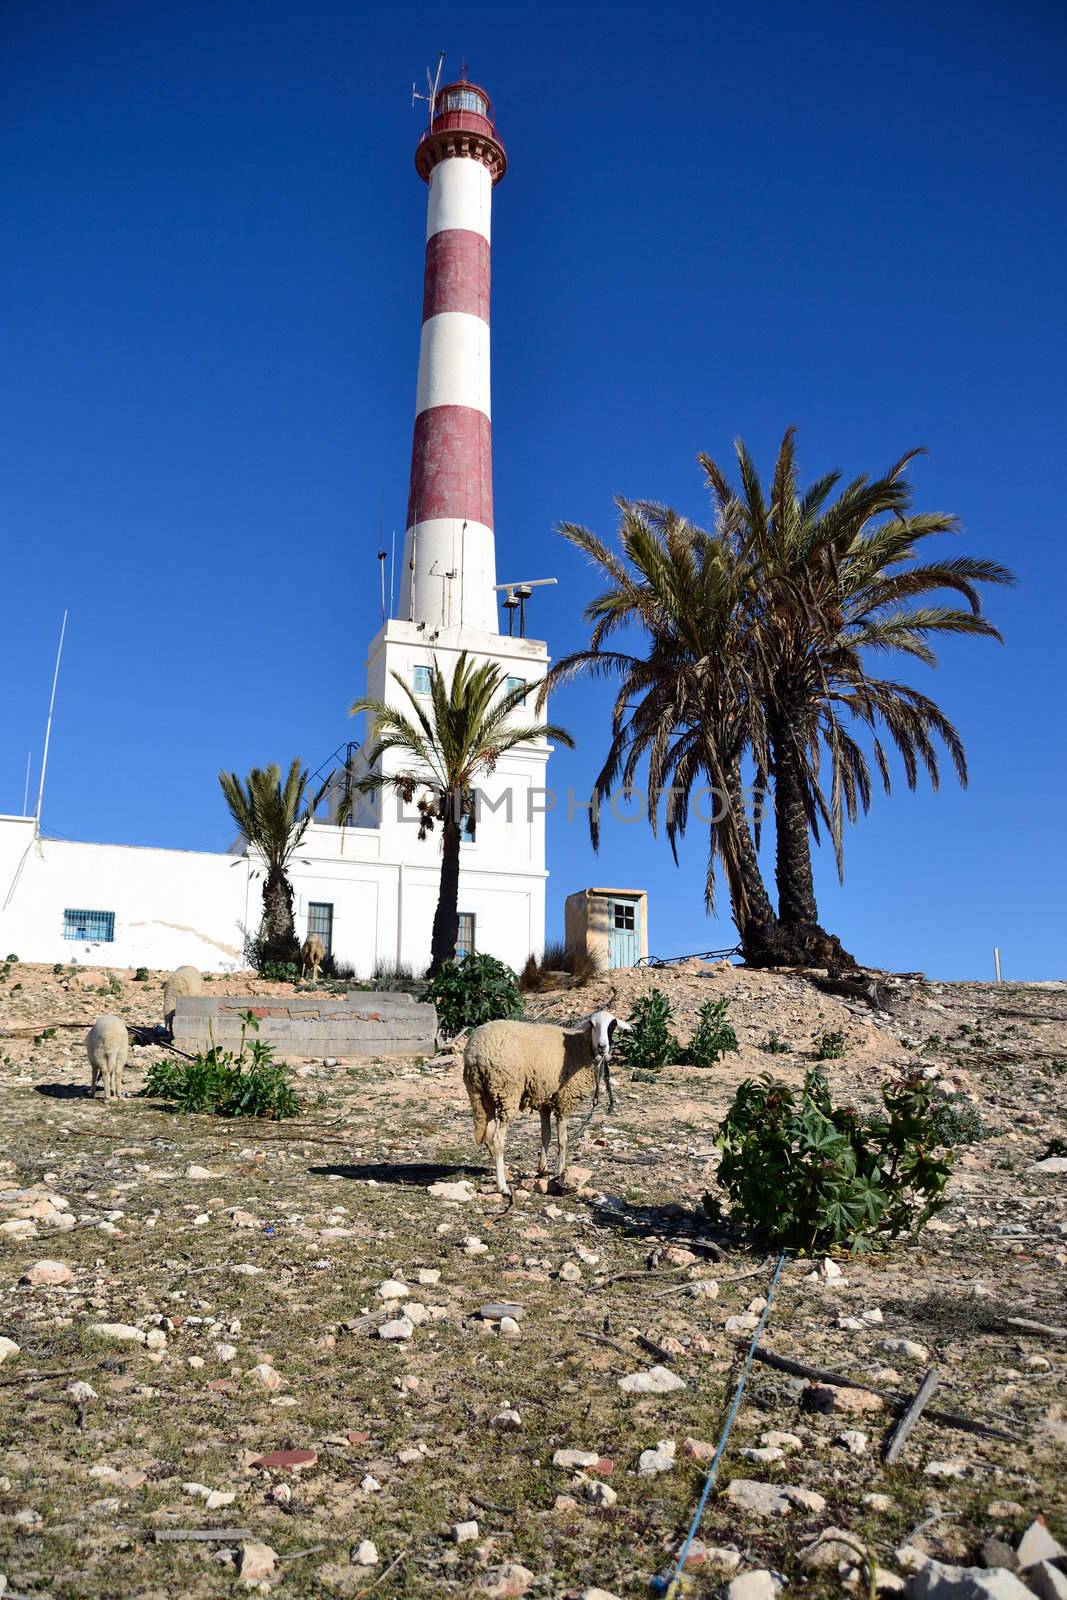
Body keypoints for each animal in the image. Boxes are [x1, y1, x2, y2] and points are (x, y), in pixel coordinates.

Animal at [460, 1004, 630, 1196]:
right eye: (592, 1024)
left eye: (612, 1025)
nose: (602, 1047)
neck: (580, 1046)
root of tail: (477, 1052)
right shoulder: (564, 1099)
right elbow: (562, 1140)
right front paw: (560, 1173)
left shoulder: (545, 1099)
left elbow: (545, 1135)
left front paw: (543, 1169)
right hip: (507, 1091)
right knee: (497, 1139)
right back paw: (502, 1186)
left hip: (480, 1094)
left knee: (488, 1136)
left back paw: (504, 1173)